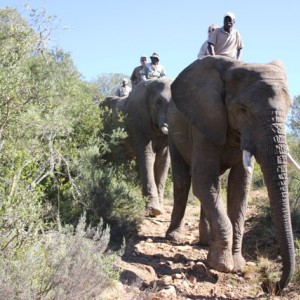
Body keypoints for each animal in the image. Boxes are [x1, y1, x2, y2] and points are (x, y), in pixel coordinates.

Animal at [101, 78, 172, 216]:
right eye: (158, 102)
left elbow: (163, 160)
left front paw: (159, 210)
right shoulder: (138, 122)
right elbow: (147, 156)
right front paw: (153, 210)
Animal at [166, 55, 296, 292]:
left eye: (289, 107)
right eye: (243, 109)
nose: (269, 285)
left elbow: (239, 188)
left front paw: (237, 265)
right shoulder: (204, 121)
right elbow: (203, 182)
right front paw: (221, 265)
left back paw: (206, 241)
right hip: (173, 130)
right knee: (183, 181)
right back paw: (173, 237)